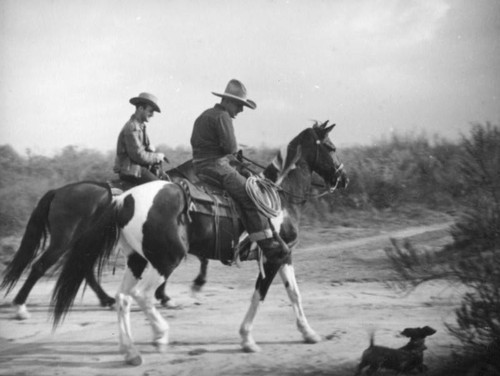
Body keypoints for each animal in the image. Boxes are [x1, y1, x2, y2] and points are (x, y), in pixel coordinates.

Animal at [0, 173, 207, 320]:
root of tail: (58, 191)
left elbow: (200, 258)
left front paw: (167, 295)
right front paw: (168, 295)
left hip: (81, 244)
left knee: (84, 270)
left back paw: (107, 300)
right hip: (62, 242)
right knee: (40, 266)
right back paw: (20, 307)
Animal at [50, 122, 348, 366]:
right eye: (331, 147)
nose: (343, 179)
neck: (280, 197)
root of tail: (124, 199)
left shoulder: (283, 255)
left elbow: (293, 293)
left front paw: (308, 333)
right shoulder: (274, 255)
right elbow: (262, 295)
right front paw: (247, 338)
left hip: (137, 259)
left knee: (123, 298)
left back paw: (131, 351)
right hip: (167, 259)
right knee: (142, 296)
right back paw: (160, 335)